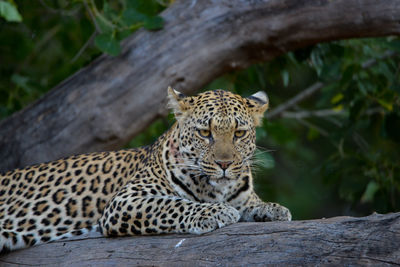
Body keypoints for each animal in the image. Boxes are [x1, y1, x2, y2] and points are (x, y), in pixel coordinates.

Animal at [0, 88, 290, 253]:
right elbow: (173, 205)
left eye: (239, 133)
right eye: (204, 133)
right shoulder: (125, 201)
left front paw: (272, 209)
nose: (225, 164)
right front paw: (216, 212)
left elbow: (252, 204)